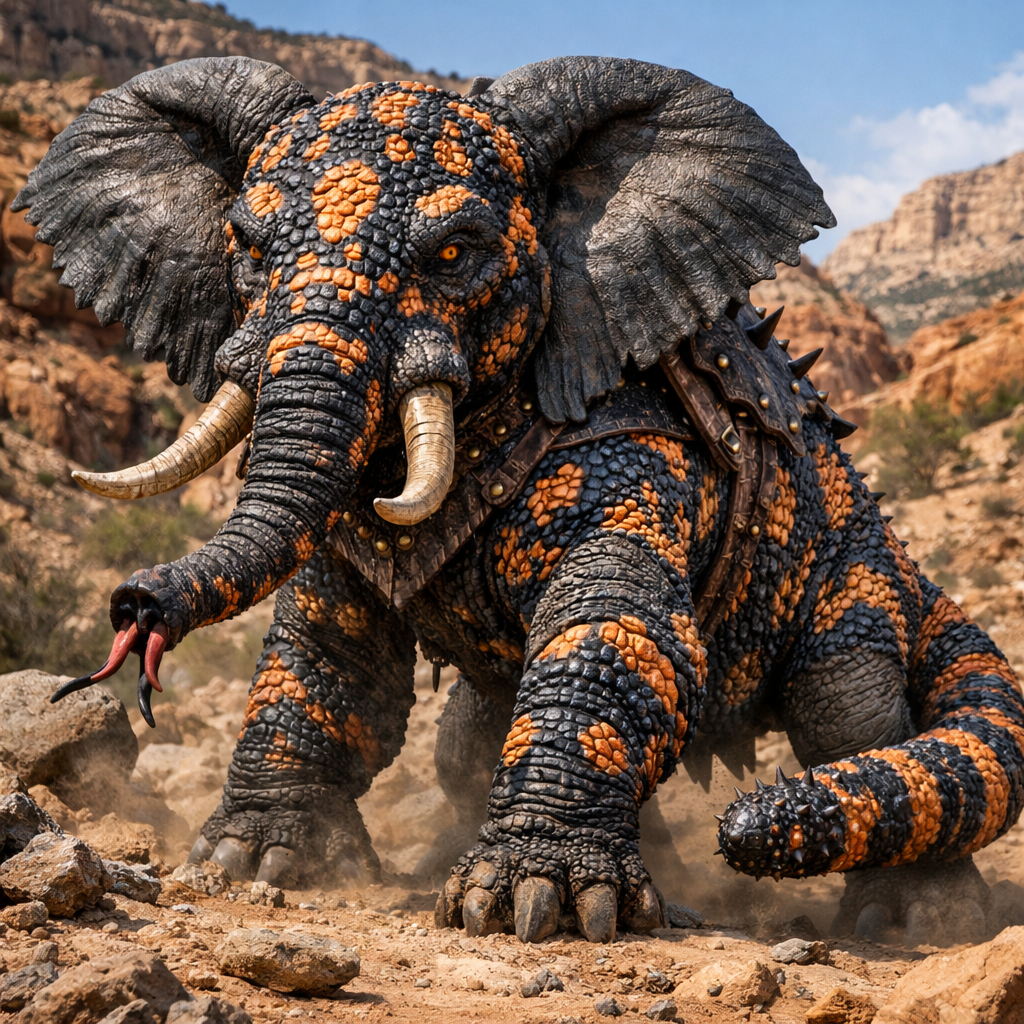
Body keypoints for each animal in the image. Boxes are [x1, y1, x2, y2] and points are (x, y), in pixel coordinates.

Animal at [15, 55, 1024, 945]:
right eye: (251, 251)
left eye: (455, 252)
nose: (136, 604)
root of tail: (904, 554)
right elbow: (328, 659)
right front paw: (259, 855)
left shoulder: (631, 442)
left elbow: (615, 627)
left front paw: (541, 889)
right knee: (466, 742)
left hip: (848, 579)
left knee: (850, 715)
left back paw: (923, 915)